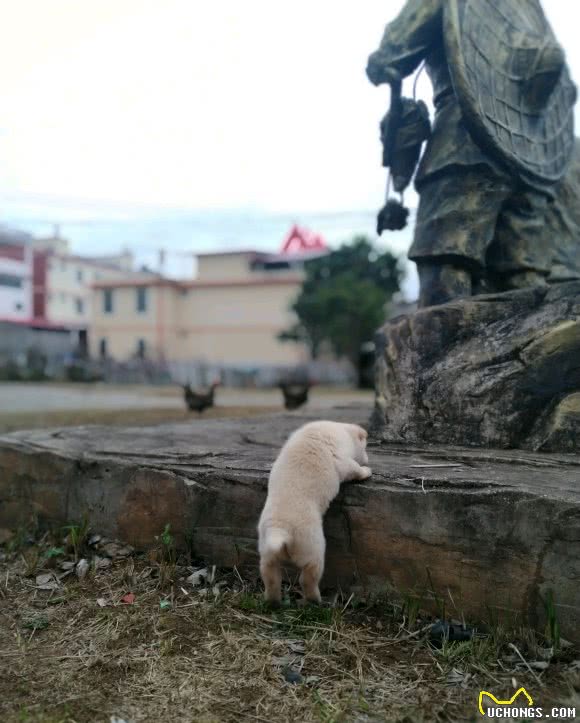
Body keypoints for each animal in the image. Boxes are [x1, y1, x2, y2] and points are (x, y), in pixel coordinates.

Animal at [258, 421, 371, 605]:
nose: (367, 459)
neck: (340, 430)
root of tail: (281, 531)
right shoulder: (339, 458)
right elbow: (351, 468)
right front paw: (366, 471)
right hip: (308, 540)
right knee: (310, 572)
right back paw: (316, 600)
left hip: (266, 540)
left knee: (270, 571)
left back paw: (273, 601)